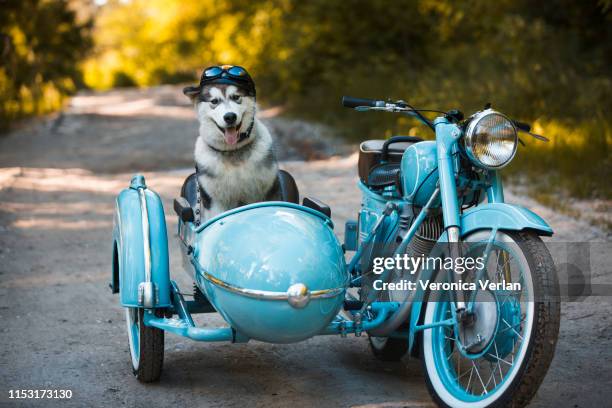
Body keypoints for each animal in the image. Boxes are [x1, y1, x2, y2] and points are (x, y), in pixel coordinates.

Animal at [182, 65, 278, 218]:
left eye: (236, 97)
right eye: (214, 101)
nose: (230, 117)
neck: (233, 151)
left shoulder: (267, 190)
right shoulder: (215, 201)